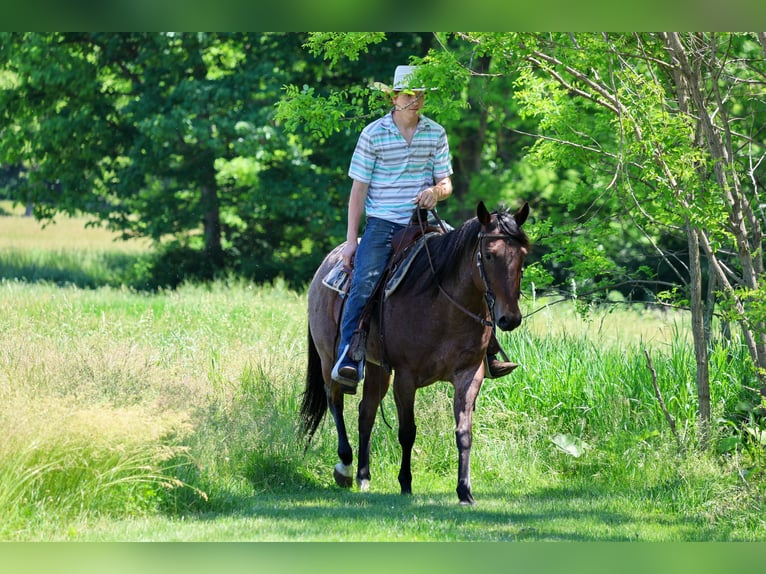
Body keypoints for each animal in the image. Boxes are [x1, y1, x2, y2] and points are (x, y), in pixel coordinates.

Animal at [300, 201, 530, 504]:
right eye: (490, 255)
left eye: (523, 255)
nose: (509, 318)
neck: (444, 305)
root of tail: (326, 264)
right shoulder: (405, 378)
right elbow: (407, 432)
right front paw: (406, 483)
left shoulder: (469, 374)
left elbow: (464, 433)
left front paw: (464, 491)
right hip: (329, 359)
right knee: (335, 401)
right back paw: (345, 467)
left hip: (376, 367)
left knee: (366, 411)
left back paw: (363, 475)